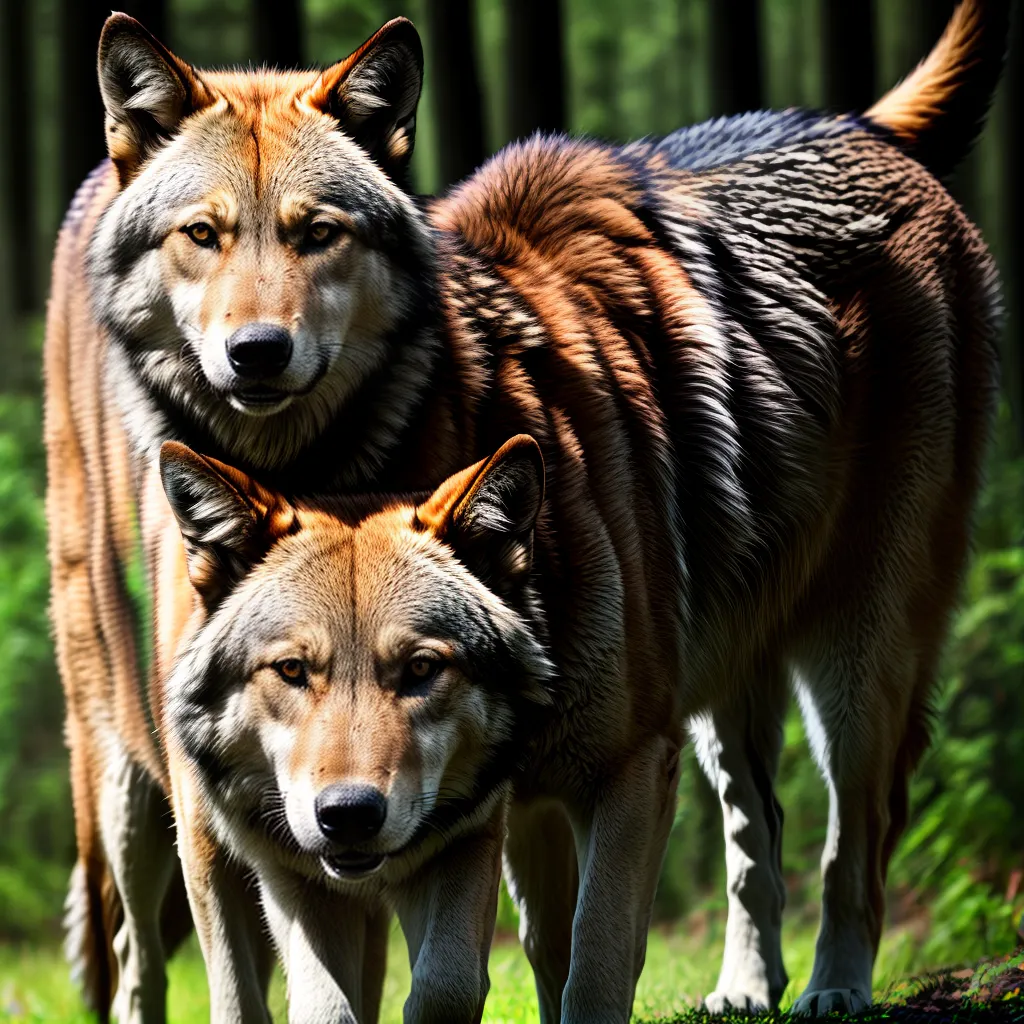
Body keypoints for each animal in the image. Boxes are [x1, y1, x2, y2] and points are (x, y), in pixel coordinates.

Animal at [46, 0, 1007, 1020]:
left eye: (319, 234)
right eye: (202, 234)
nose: (257, 351)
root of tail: (864, 127)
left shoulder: (603, 770)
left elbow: (583, 962)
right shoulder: (310, 816)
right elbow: (341, 975)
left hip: (853, 660)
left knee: (853, 835)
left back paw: (835, 984)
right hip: (129, 773)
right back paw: (749, 986)